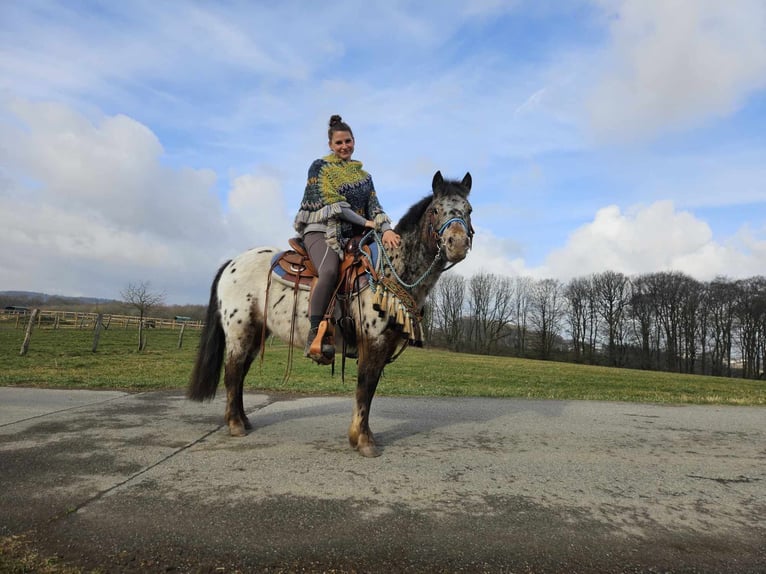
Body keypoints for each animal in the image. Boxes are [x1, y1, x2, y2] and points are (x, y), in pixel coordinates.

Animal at [188, 171, 474, 460]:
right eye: (436, 210)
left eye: (468, 210)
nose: (458, 244)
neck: (391, 269)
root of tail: (232, 263)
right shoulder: (373, 342)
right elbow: (365, 388)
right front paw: (363, 441)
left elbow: (369, 390)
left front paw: (364, 436)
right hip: (240, 331)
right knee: (233, 372)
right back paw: (235, 425)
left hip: (257, 333)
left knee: (241, 373)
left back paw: (244, 420)